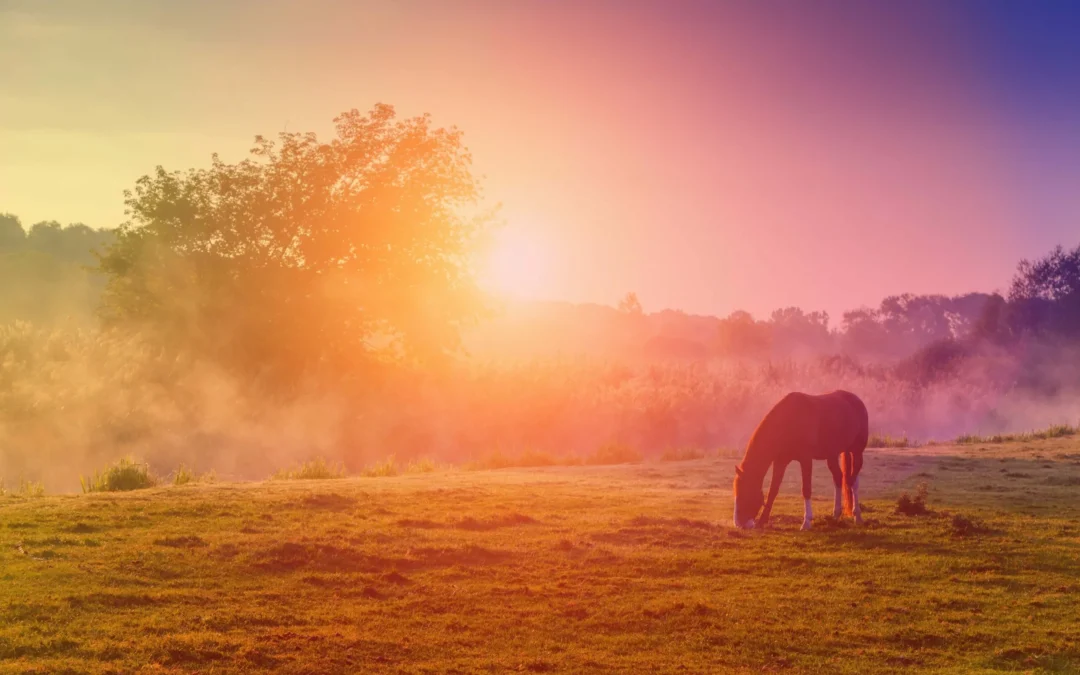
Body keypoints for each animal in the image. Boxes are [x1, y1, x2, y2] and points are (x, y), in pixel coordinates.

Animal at [734, 393, 868, 529]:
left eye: (745, 491)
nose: (739, 523)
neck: (790, 421)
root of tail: (855, 399)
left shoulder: (806, 459)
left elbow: (806, 489)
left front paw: (806, 522)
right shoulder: (780, 461)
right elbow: (773, 490)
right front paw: (762, 520)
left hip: (856, 451)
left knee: (853, 482)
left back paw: (857, 516)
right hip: (832, 455)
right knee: (839, 478)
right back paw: (835, 515)